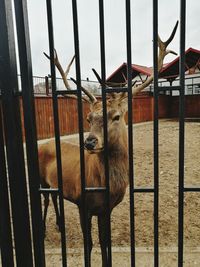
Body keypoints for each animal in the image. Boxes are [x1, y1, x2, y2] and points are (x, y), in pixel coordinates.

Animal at [38, 22, 178, 266]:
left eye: (116, 116)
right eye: (88, 118)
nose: (89, 142)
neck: (103, 184)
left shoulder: (106, 209)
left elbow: (105, 242)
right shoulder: (83, 203)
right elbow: (90, 243)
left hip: (55, 183)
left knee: (55, 196)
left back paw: (59, 225)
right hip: (39, 179)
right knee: (45, 198)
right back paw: (46, 229)